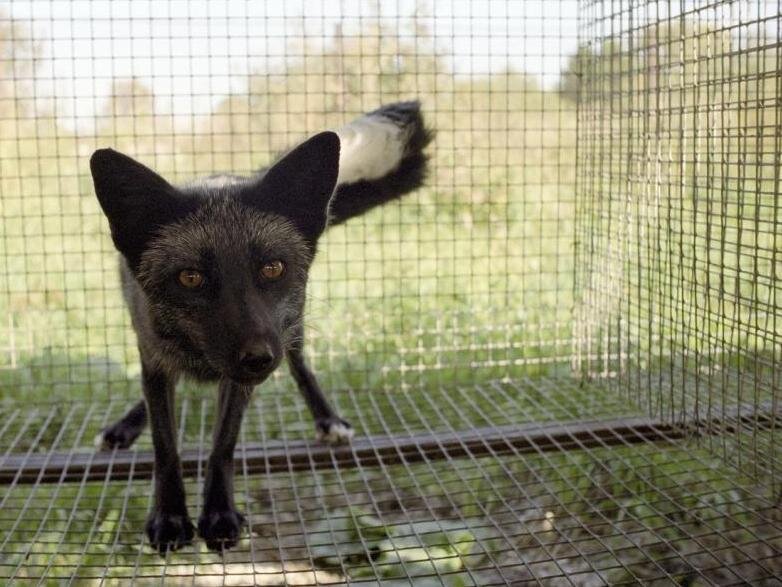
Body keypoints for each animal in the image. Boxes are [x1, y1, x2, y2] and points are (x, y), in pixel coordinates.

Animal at [89, 101, 432, 553]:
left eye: (273, 268)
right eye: (190, 278)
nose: (257, 358)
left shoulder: (245, 375)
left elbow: (223, 445)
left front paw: (218, 514)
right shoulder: (155, 358)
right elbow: (166, 448)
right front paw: (169, 517)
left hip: (291, 327)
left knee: (301, 366)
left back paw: (327, 419)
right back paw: (126, 426)